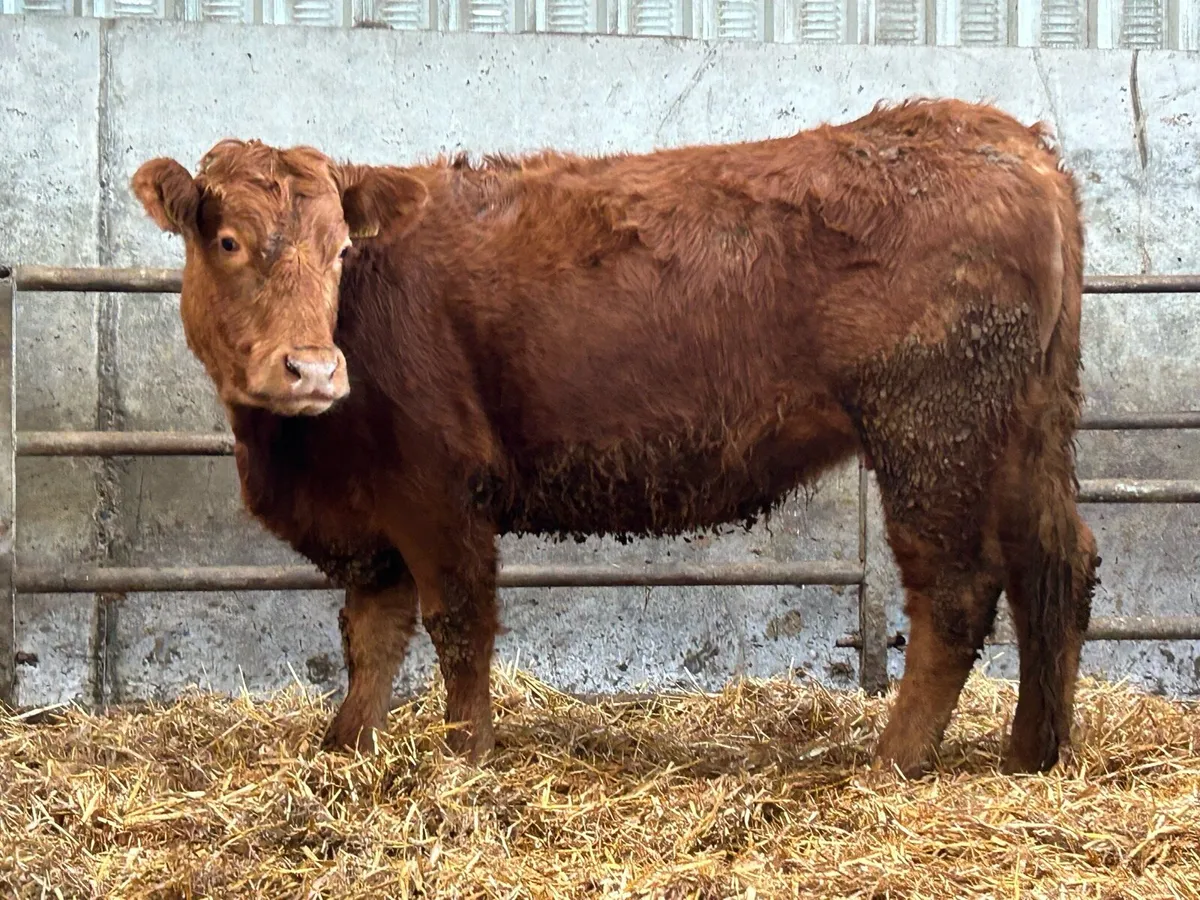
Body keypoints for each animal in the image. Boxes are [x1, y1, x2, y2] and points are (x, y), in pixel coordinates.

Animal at [130, 97, 1100, 778]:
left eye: (339, 250)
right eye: (226, 240)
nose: (311, 370)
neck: (294, 455)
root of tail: (1001, 137)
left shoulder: (436, 489)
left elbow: (457, 623)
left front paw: (461, 757)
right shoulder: (374, 517)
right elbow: (370, 635)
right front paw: (344, 749)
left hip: (931, 428)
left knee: (958, 588)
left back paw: (892, 763)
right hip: (1026, 424)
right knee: (1055, 561)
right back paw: (1030, 757)